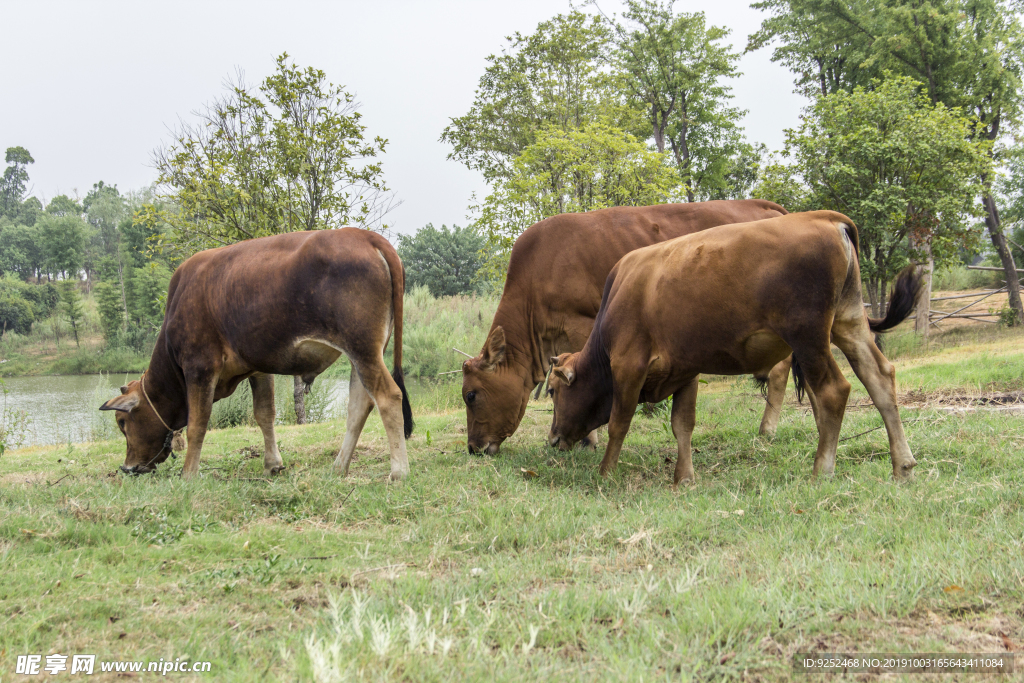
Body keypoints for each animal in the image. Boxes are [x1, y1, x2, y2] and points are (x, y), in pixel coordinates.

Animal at [98, 229, 411, 481]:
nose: (127, 467)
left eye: (122, 423)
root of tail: (366, 236)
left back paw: (398, 471)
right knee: (358, 407)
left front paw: (188, 474)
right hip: (365, 354)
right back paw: (338, 467)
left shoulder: (200, 366)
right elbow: (264, 414)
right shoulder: (258, 367)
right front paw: (273, 464)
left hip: (363, 349)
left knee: (388, 397)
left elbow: (197, 425)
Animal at [464, 198, 790, 454]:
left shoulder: (583, 324)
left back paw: (767, 429)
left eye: (471, 395)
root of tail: (764, 205)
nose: (473, 448)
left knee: (780, 370)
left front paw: (587, 440)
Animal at [548, 210, 925, 483]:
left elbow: (619, 423)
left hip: (809, 337)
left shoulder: (629, 366)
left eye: (552, 391)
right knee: (880, 378)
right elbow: (682, 425)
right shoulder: (684, 369)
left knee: (834, 391)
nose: (552, 439)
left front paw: (605, 473)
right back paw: (902, 466)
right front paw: (684, 478)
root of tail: (824, 217)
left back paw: (822, 470)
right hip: (849, 323)